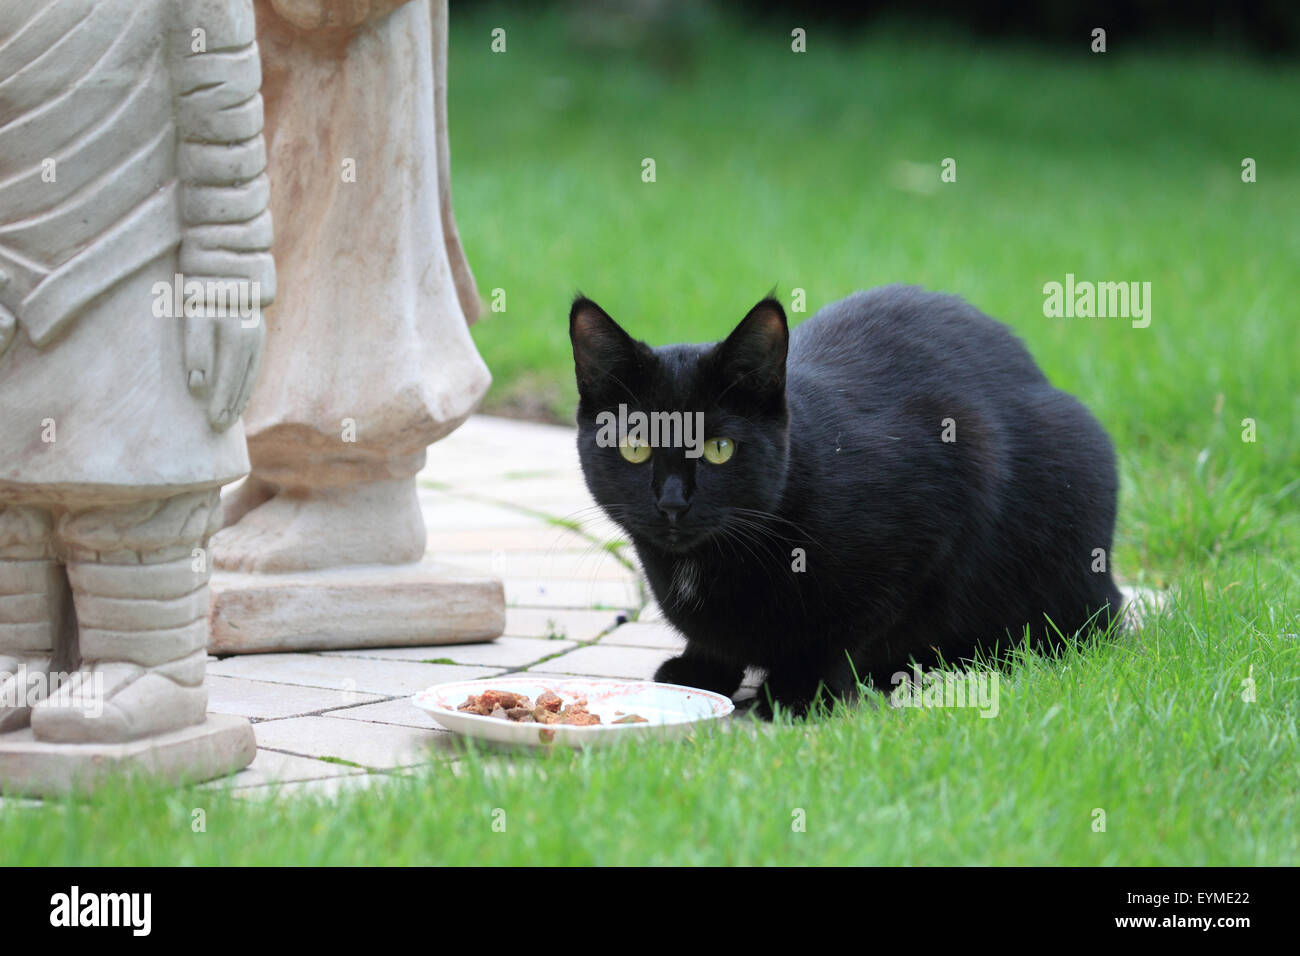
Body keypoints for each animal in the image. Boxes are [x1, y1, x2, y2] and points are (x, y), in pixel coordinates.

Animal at [574, 283, 1123, 717]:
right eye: (635, 446)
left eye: (719, 448)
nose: (671, 503)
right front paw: (700, 668)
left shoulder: (954, 473)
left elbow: (844, 629)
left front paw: (799, 691)